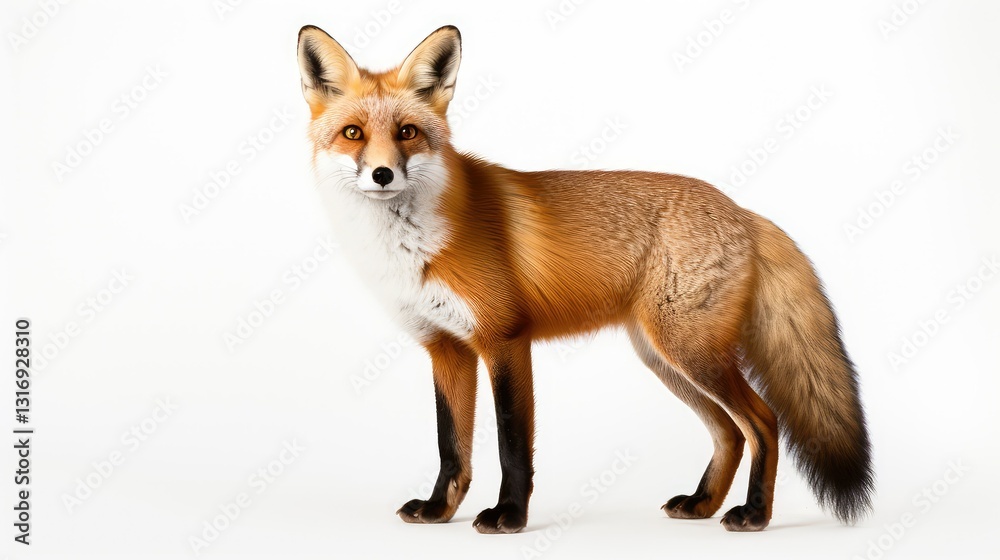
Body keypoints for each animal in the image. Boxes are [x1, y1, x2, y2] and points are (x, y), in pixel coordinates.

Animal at [295, 24, 874, 533]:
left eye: (408, 133)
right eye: (353, 134)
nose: (382, 174)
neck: (414, 248)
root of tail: (743, 211)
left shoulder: (504, 339)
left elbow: (511, 443)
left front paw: (509, 517)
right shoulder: (446, 348)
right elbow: (451, 445)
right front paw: (439, 511)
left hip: (691, 352)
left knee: (763, 422)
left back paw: (754, 515)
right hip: (664, 358)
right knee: (730, 433)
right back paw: (703, 504)